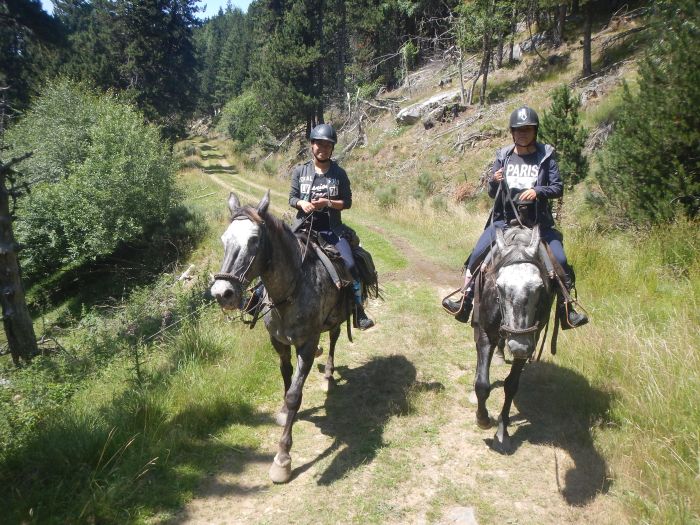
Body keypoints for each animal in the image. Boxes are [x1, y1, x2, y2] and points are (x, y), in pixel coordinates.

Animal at [211, 190, 356, 482]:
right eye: (224, 239)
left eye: (254, 240)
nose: (222, 293)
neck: (290, 292)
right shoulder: (278, 342)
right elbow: (287, 378)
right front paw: (282, 413)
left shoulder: (307, 344)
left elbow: (294, 395)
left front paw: (282, 459)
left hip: (337, 317)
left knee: (334, 338)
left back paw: (329, 374)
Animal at [474, 224, 556, 450]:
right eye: (499, 287)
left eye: (540, 288)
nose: (518, 346)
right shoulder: (485, 334)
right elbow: (482, 384)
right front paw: (483, 419)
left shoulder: (529, 341)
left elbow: (511, 386)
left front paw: (502, 430)